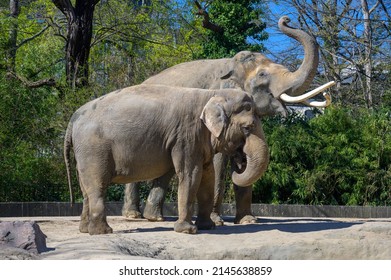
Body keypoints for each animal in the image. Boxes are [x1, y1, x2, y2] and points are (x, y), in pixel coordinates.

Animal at [66, 85, 272, 234]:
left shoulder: (198, 141)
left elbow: (207, 176)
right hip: (93, 149)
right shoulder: (186, 135)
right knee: (97, 186)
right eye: (247, 128)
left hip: (83, 152)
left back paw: (84, 230)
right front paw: (188, 230)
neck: (213, 94)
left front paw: (208, 227)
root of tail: (73, 118)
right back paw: (103, 232)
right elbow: (191, 175)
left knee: (85, 189)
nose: (240, 160)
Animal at [123, 15, 336, 225]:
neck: (230, 65)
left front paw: (248, 221)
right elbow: (218, 160)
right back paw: (134, 215)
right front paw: (217, 221)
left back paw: (154, 217)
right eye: (262, 74)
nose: (286, 19)